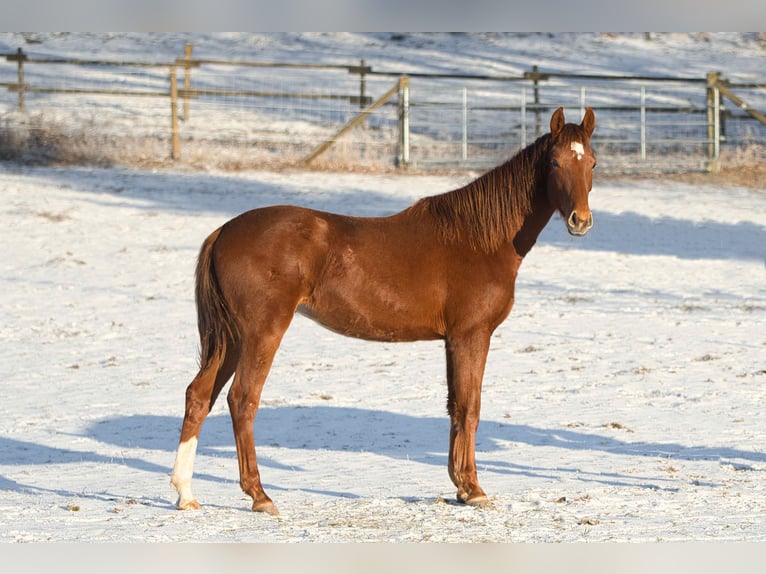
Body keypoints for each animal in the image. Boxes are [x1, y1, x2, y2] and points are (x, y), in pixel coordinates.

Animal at [171, 108, 596, 516]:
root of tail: (224, 232)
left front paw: (461, 487)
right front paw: (473, 490)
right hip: (261, 333)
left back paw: (185, 494)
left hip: (231, 339)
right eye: (555, 162)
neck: (477, 238)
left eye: (591, 162)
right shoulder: (470, 335)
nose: (581, 220)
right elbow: (469, 407)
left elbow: (455, 407)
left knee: (199, 396)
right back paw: (259, 496)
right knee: (242, 400)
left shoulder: (453, 340)